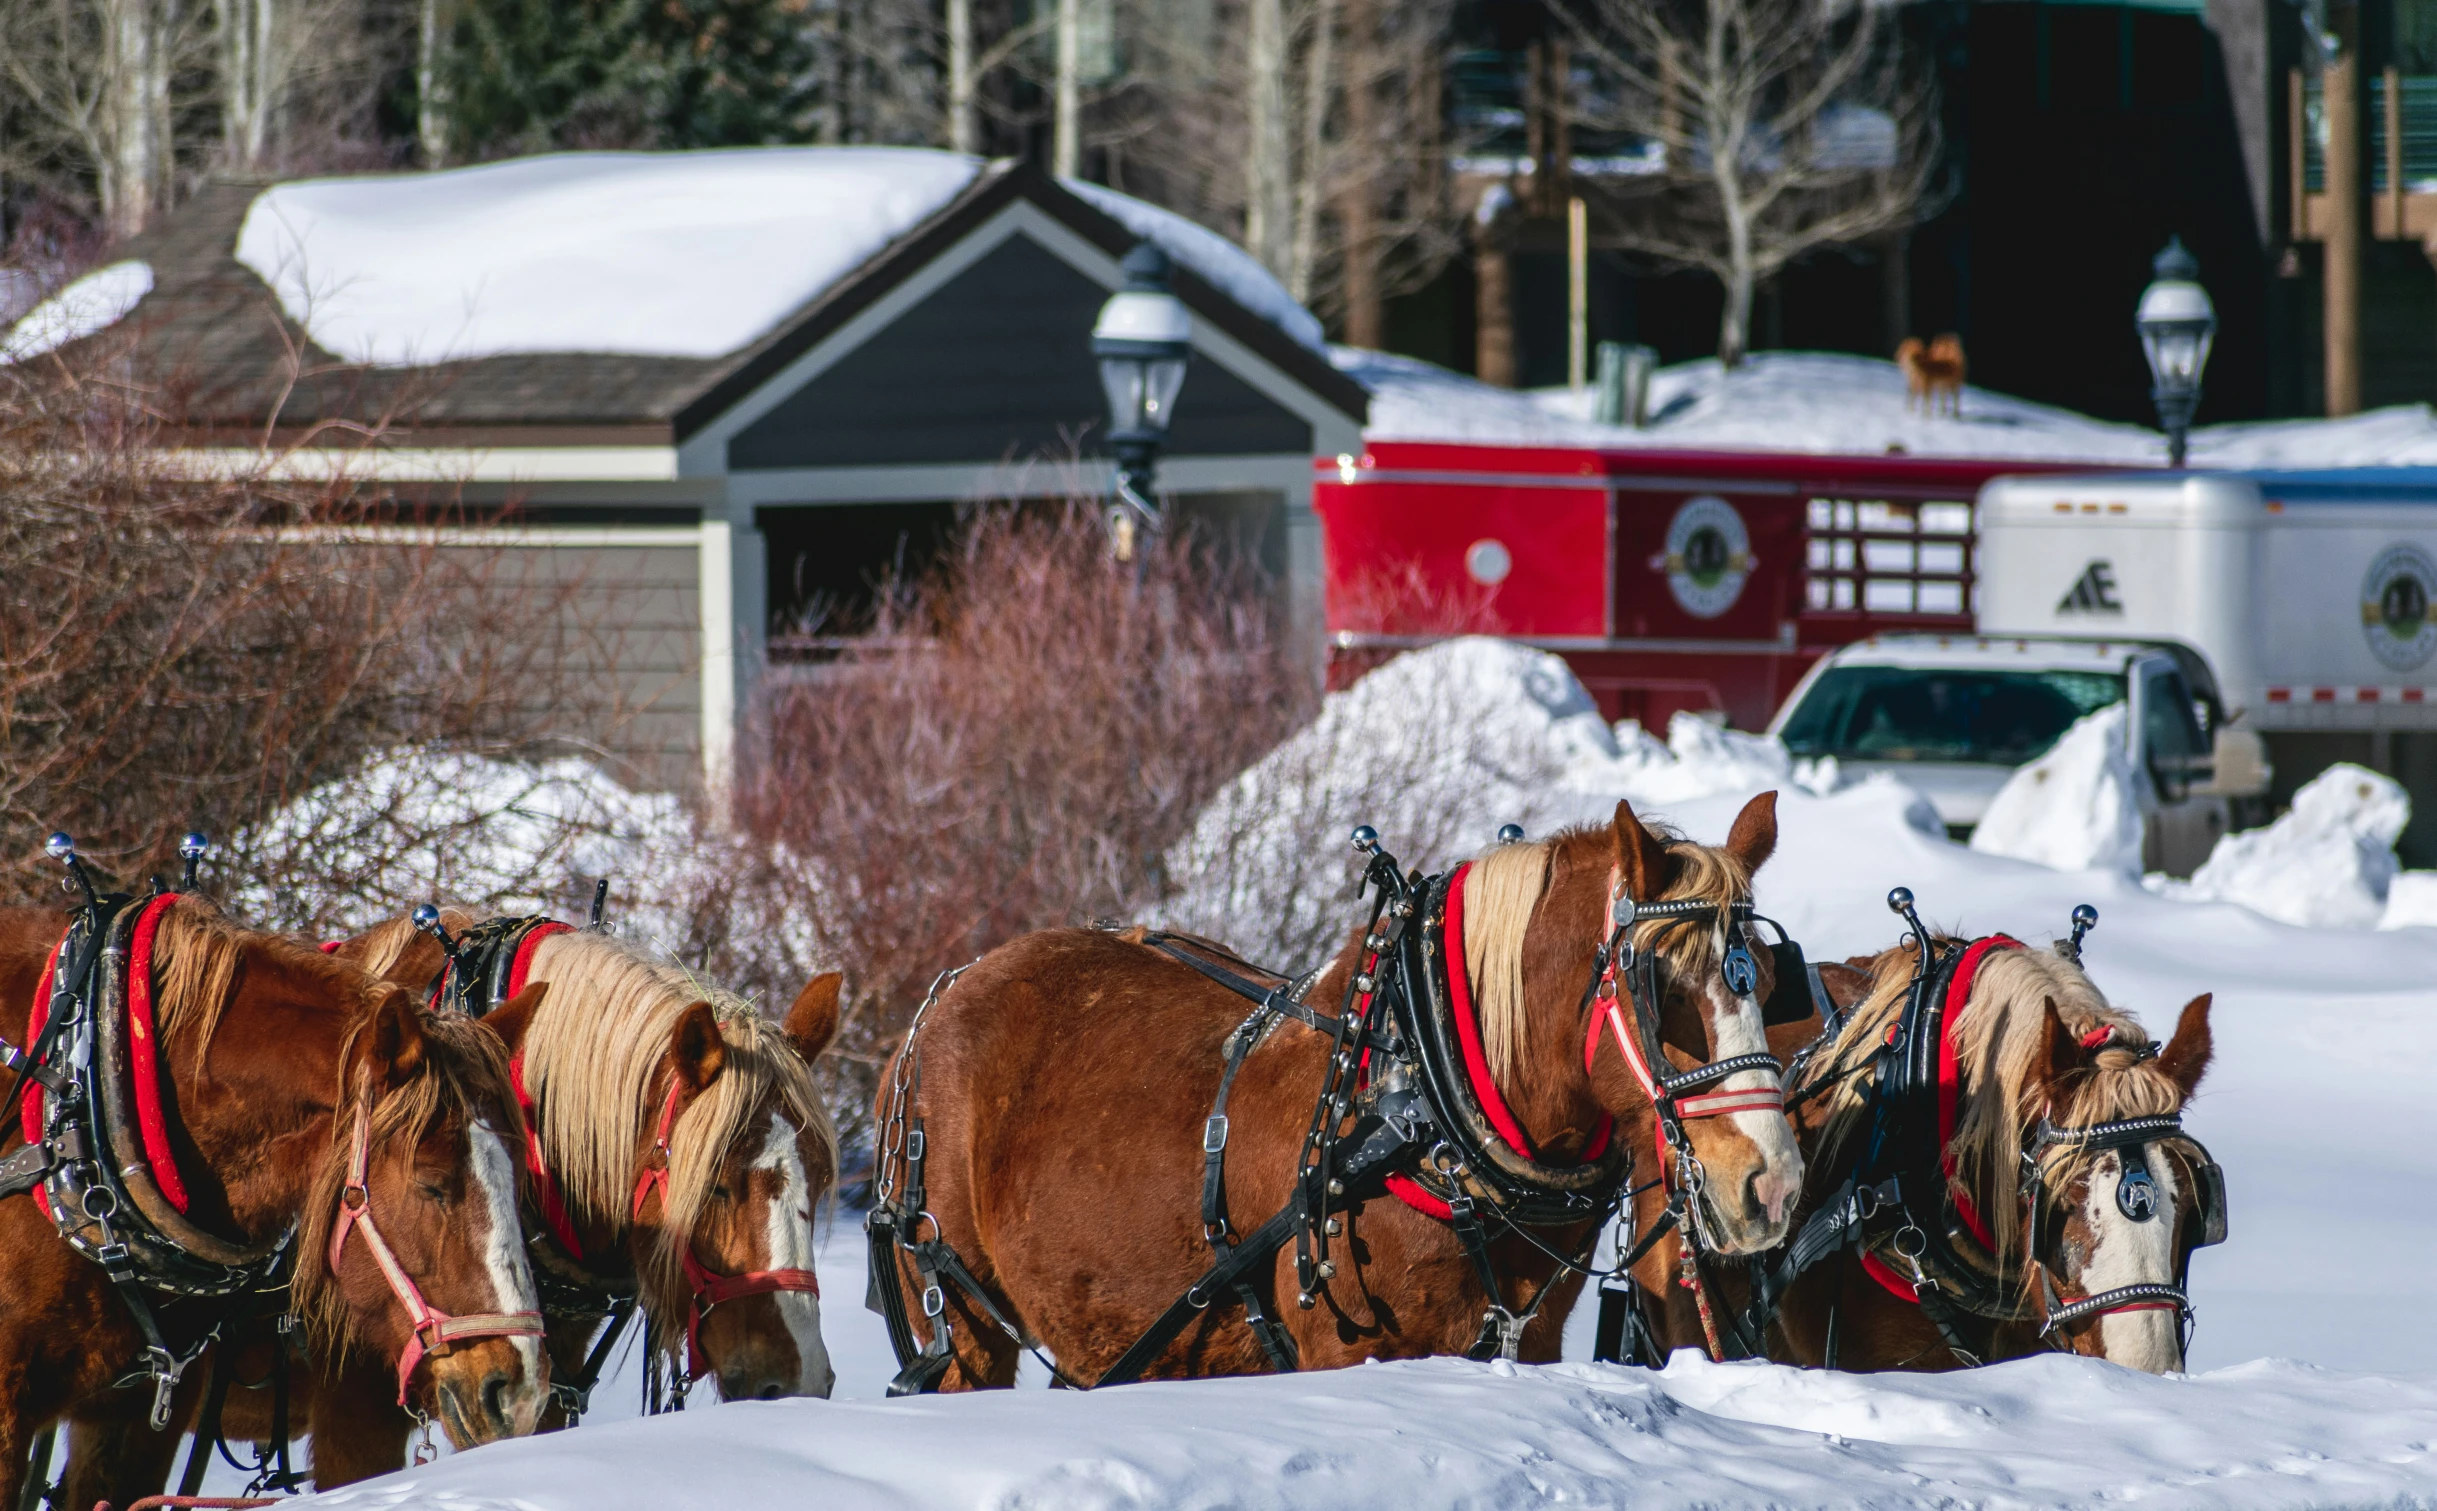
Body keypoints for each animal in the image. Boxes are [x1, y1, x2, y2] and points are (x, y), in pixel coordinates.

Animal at [872, 789, 1813, 1394]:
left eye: (1767, 980)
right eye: (1663, 986)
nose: (1771, 1184)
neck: (1422, 1097)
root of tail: (937, 1002)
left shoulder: (1526, 1339)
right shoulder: (1345, 1347)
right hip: (960, 1321)